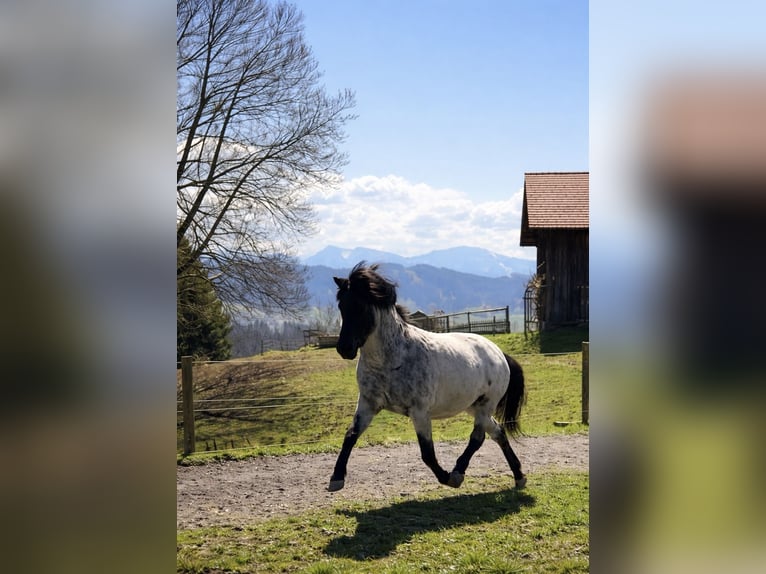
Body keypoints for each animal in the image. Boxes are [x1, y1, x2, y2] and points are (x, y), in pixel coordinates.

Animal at [328, 262, 527, 492]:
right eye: (342, 306)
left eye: (360, 307)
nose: (344, 349)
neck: (391, 361)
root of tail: (499, 353)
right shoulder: (368, 404)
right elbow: (350, 436)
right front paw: (336, 478)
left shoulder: (420, 412)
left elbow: (427, 454)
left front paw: (447, 477)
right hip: (473, 406)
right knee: (498, 432)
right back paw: (519, 476)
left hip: (486, 405)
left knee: (478, 438)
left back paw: (458, 473)